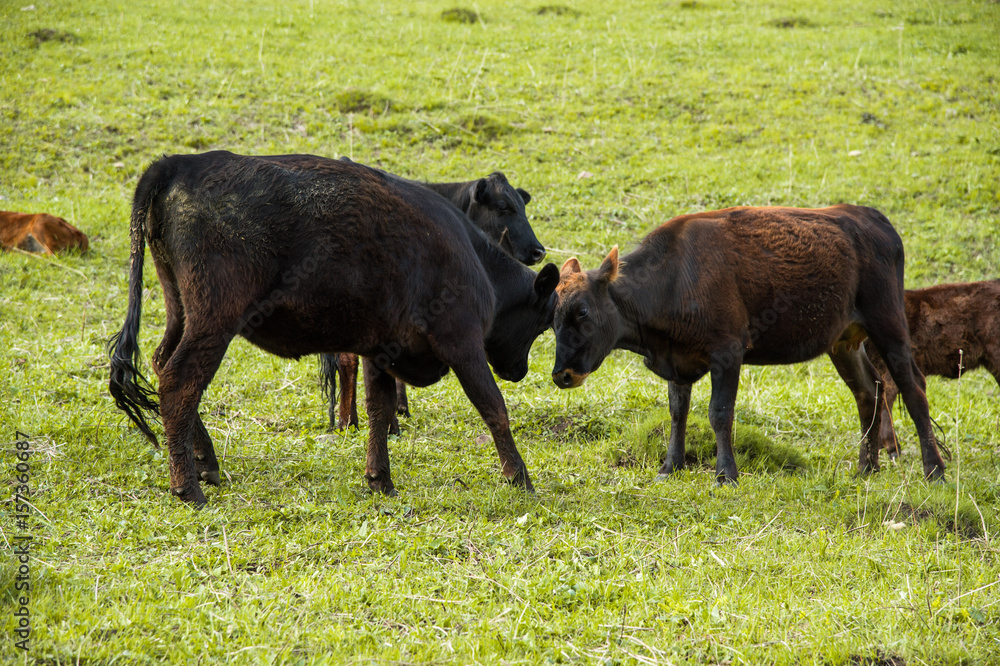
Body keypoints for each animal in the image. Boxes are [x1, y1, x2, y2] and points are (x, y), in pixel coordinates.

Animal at [550, 205, 947, 485]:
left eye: (583, 310)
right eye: (551, 316)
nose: (561, 374)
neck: (674, 279)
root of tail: (872, 217)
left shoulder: (727, 352)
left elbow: (719, 412)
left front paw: (726, 474)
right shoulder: (678, 362)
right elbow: (678, 412)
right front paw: (670, 466)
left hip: (888, 322)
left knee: (912, 387)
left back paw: (934, 471)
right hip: (843, 341)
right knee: (869, 390)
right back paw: (866, 468)